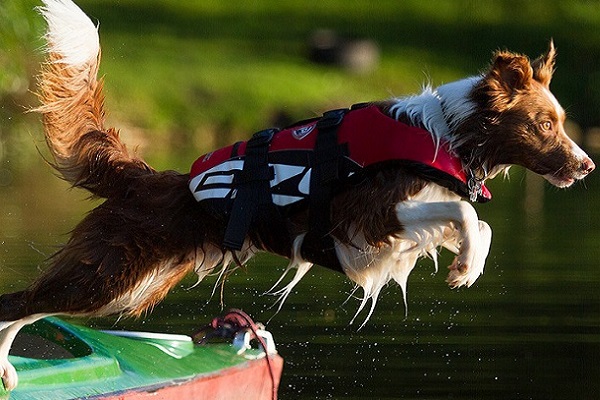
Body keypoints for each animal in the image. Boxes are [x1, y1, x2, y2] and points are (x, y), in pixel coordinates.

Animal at [0, 0, 592, 390]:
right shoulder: (369, 215)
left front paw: (468, 266)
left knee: (29, 308)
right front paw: (466, 267)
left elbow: (478, 221)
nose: (587, 166)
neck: (450, 132)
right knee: (18, 304)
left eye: (560, 122)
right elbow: (467, 209)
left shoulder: (400, 227)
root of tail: (150, 177)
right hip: (105, 276)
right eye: (544, 125)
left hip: (134, 284)